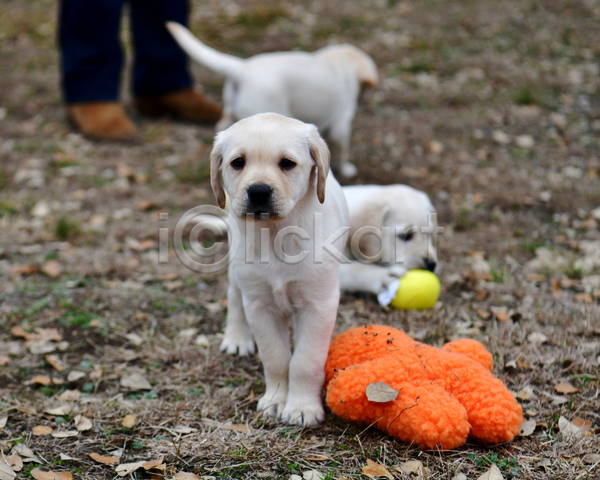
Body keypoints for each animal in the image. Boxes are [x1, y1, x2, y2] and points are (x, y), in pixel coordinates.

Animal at [213, 113, 350, 428]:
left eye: (287, 163)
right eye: (238, 162)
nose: (258, 191)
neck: (277, 233)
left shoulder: (318, 305)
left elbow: (305, 361)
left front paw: (302, 407)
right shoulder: (259, 305)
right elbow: (275, 358)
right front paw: (276, 400)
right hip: (238, 272)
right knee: (234, 296)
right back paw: (236, 338)